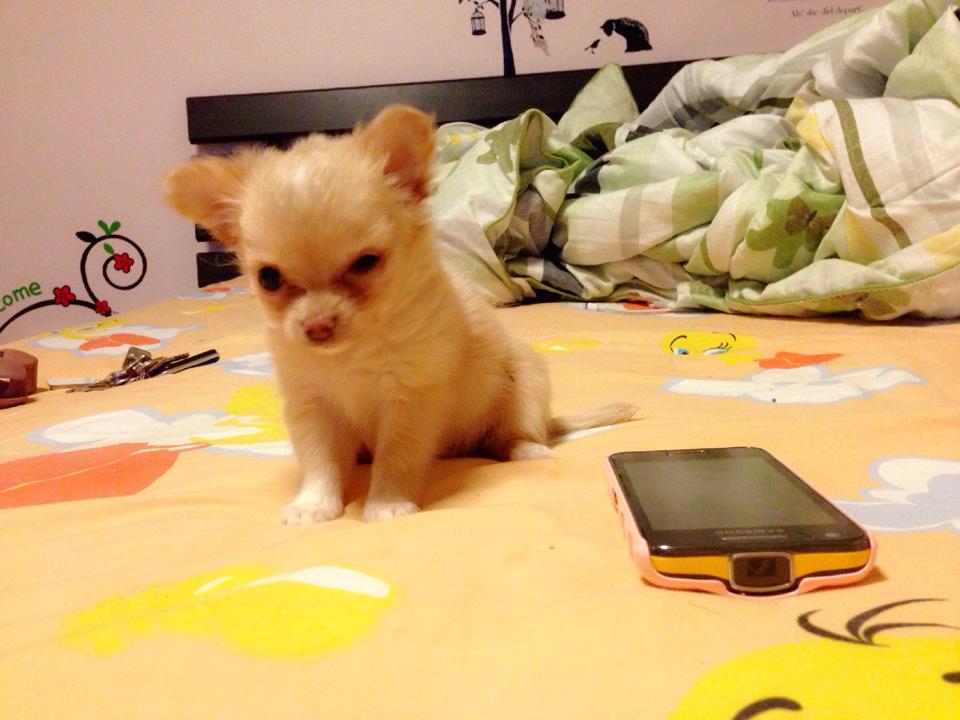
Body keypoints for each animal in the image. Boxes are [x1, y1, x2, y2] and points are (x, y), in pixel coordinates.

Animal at [165, 105, 635, 523]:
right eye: (268, 278)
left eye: (366, 263)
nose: (317, 325)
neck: (353, 353)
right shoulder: (310, 404)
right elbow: (319, 460)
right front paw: (314, 505)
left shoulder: (410, 401)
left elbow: (396, 457)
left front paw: (387, 504)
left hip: (528, 384)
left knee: (512, 434)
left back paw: (526, 449)